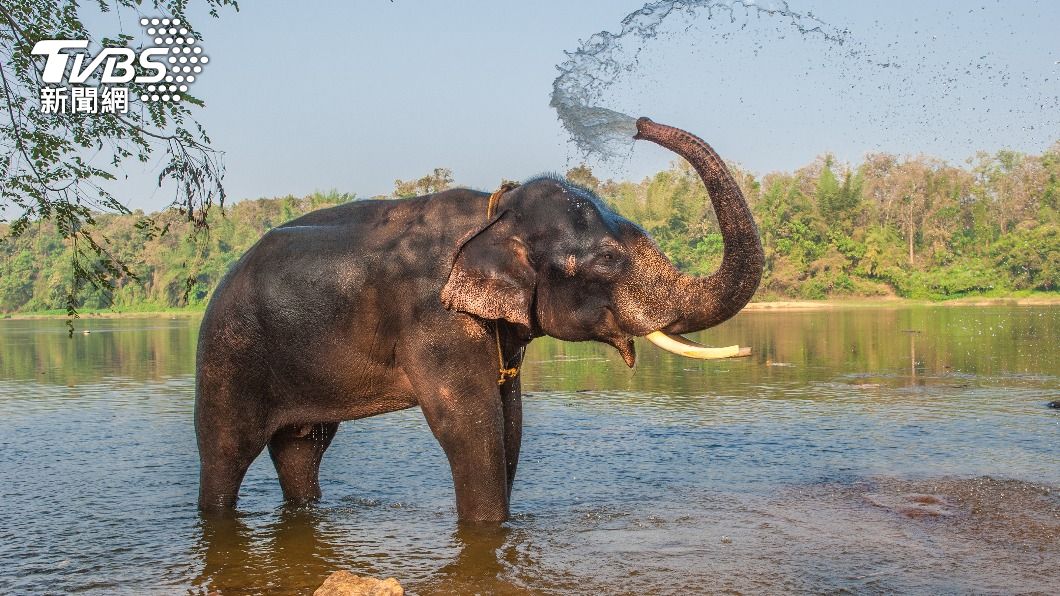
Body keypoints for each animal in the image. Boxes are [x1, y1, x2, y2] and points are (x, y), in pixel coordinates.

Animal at [195, 117, 764, 522]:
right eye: (607, 260)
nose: (641, 123)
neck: (496, 211)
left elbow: (510, 420)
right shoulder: (435, 318)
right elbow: (470, 424)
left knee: (301, 449)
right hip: (228, 354)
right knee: (225, 451)